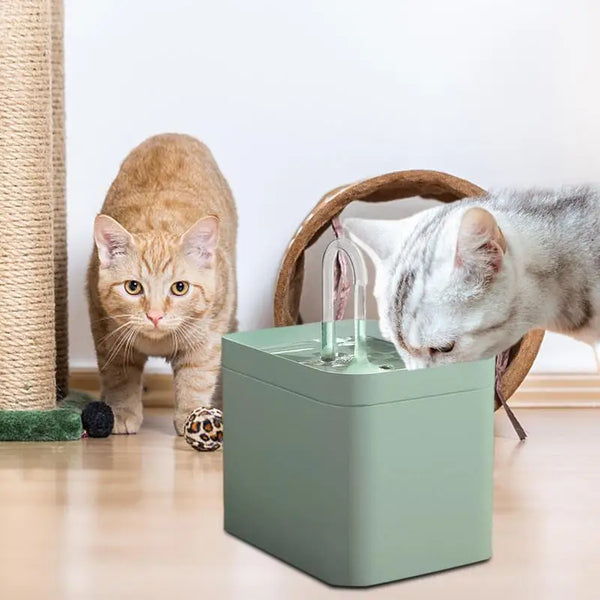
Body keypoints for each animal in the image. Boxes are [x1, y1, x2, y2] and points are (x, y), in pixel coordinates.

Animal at [86, 134, 237, 434]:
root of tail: (174, 134)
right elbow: (119, 377)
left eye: (180, 288)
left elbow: (196, 378)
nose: (155, 315)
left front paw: (195, 418)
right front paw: (121, 412)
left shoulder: (208, 336)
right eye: (133, 287)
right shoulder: (106, 333)